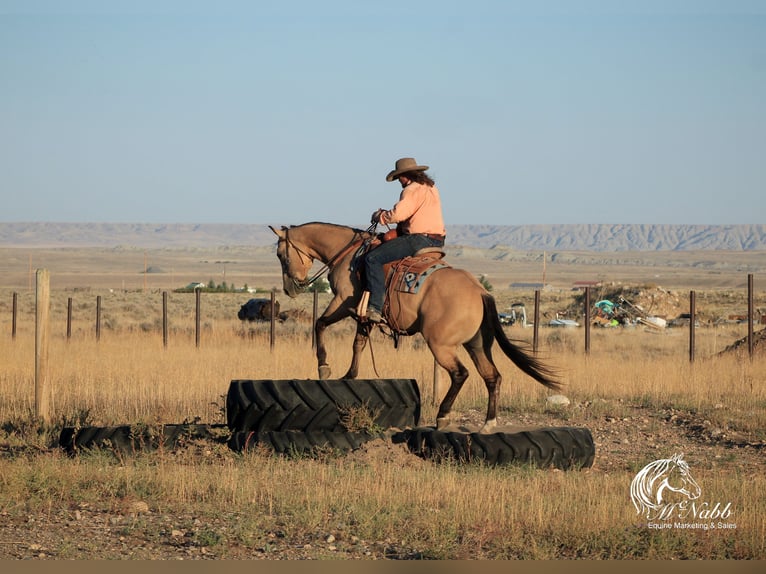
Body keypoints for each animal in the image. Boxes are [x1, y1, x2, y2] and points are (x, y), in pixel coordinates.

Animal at [270, 220, 564, 432]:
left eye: (280, 254)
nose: (290, 288)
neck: (349, 255)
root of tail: (481, 291)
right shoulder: (363, 314)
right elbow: (358, 344)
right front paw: (349, 375)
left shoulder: (344, 301)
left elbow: (320, 324)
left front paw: (324, 366)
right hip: (477, 344)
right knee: (492, 376)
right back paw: (488, 423)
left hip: (441, 344)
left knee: (460, 374)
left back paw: (443, 416)